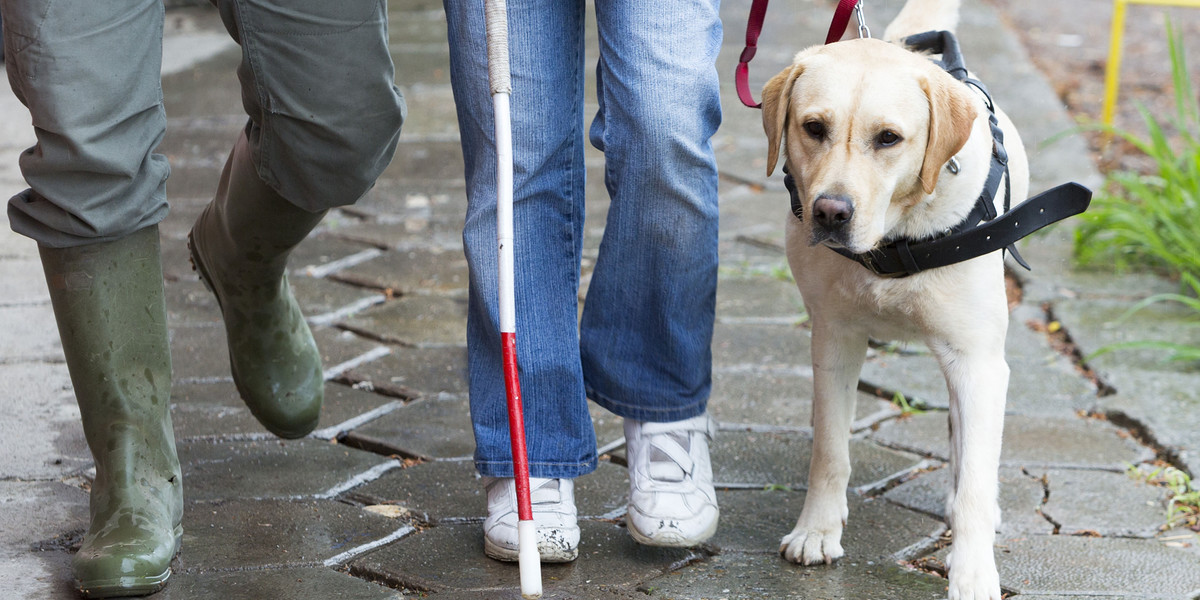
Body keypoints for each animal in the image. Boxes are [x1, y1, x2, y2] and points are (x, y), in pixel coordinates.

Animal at [763, 1, 1027, 600]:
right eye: (813, 128)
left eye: (888, 138)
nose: (831, 212)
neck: (892, 241)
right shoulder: (833, 342)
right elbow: (830, 450)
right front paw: (817, 530)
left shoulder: (978, 362)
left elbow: (975, 483)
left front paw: (973, 573)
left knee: (966, 444)